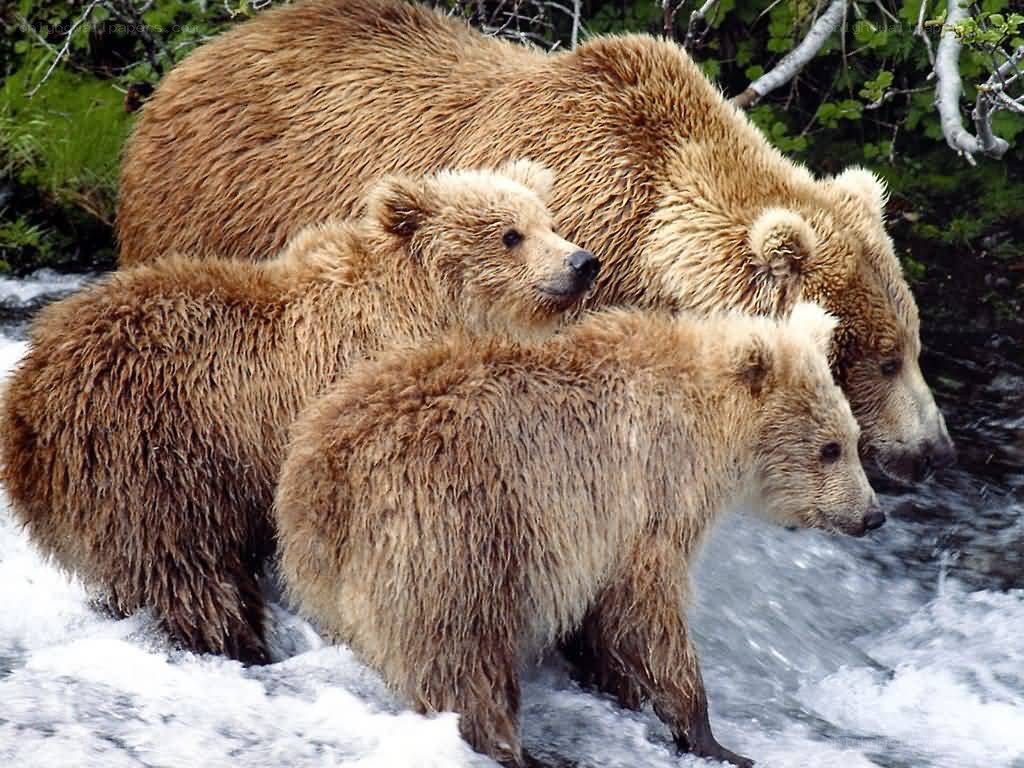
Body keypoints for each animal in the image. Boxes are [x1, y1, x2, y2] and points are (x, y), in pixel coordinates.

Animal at [0, 161, 597, 666]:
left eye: (548, 222)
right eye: (510, 234)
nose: (582, 263)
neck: (421, 307)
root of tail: (26, 394)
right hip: (154, 450)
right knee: (186, 561)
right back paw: (236, 637)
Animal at [273, 302, 884, 768]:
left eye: (852, 439)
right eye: (830, 447)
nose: (872, 514)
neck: (708, 427)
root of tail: (328, 475)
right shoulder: (648, 496)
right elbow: (646, 611)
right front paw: (712, 735)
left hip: (328, 567)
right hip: (457, 527)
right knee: (463, 650)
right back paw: (517, 748)